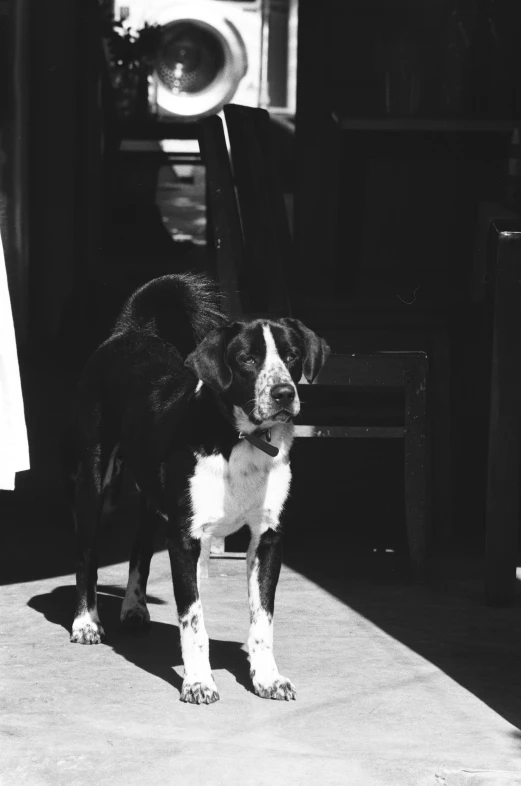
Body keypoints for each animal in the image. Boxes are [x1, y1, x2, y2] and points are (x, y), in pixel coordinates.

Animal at [71, 272, 328, 700]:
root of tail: (128, 331)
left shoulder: (268, 538)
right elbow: (193, 621)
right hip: (94, 486)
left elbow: (263, 620)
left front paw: (267, 677)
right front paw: (197, 682)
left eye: (291, 355)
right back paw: (86, 622)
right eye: (247, 359)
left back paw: (134, 607)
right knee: (86, 556)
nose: (283, 394)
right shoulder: (185, 540)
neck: (240, 441)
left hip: (152, 498)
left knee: (140, 548)